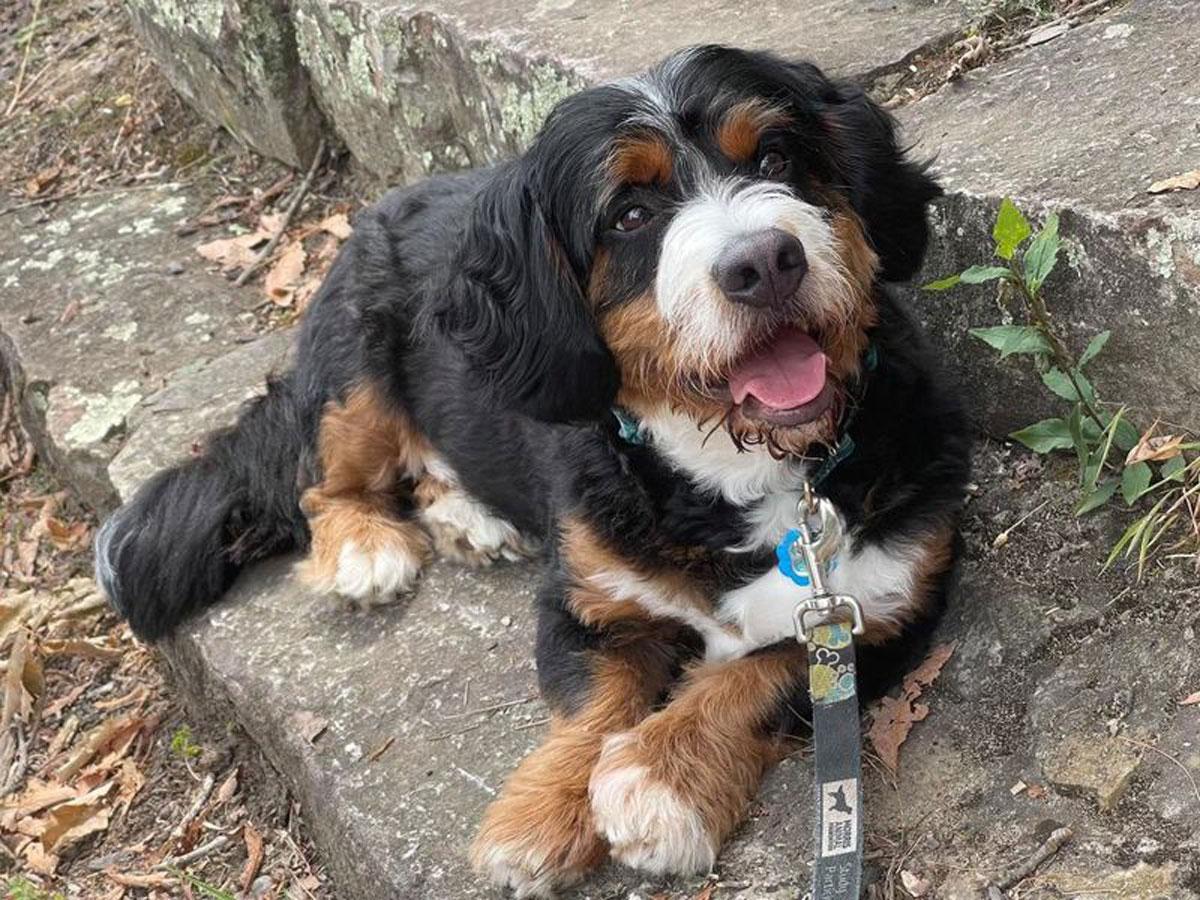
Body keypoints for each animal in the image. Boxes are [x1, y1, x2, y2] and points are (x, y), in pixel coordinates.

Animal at [98, 47, 969, 900]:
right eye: (629, 214)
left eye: (777, 157)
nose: (764, 261)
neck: (746, 473)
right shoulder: (584, 596)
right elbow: (591, 703)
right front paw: (541, 815)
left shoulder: (881, 605)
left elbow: (764, 673)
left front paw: (660, 778)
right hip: (357, 365)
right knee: (324, 480)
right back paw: (366, 548)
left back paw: (466, 519)